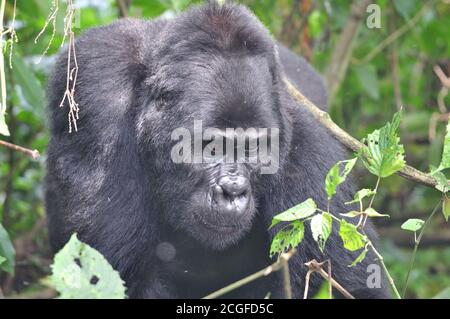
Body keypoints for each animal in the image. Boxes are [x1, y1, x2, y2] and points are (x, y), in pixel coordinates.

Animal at [45, 1, 390, 298]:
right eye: (209, 147)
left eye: (252, 148)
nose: (233, 191)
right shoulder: (97, 90)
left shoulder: (309, 150)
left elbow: (355, 286)